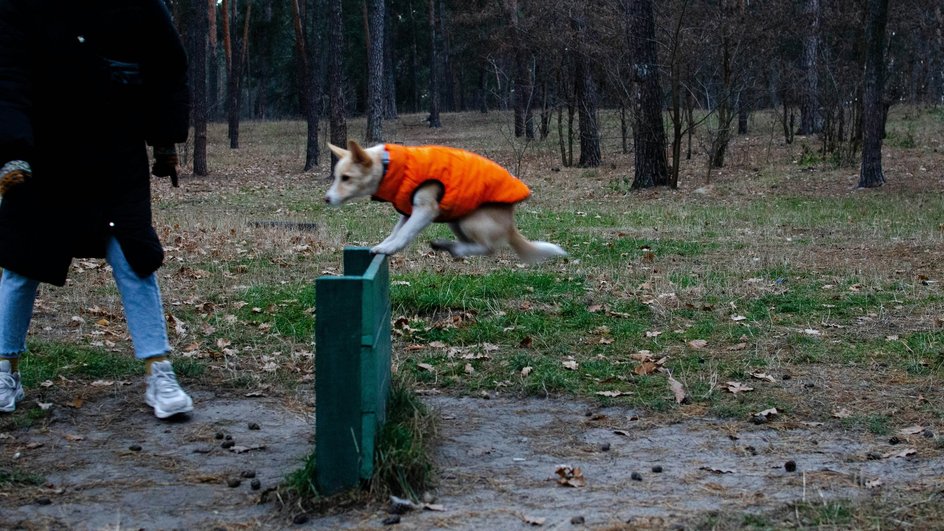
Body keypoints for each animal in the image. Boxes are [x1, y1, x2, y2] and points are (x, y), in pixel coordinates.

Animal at [324, 140, 564, 264]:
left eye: (346, 178)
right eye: (336, 176)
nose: (326, 199)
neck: (388, 165)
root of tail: (510, 225)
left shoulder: (425, 210)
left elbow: (403, 235)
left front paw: (388, 249)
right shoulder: (408, 213)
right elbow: (395, 232)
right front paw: (384, 244)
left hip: (470, 219)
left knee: (488, 248)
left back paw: (454, 248)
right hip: (455, 220)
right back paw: (449, 246)